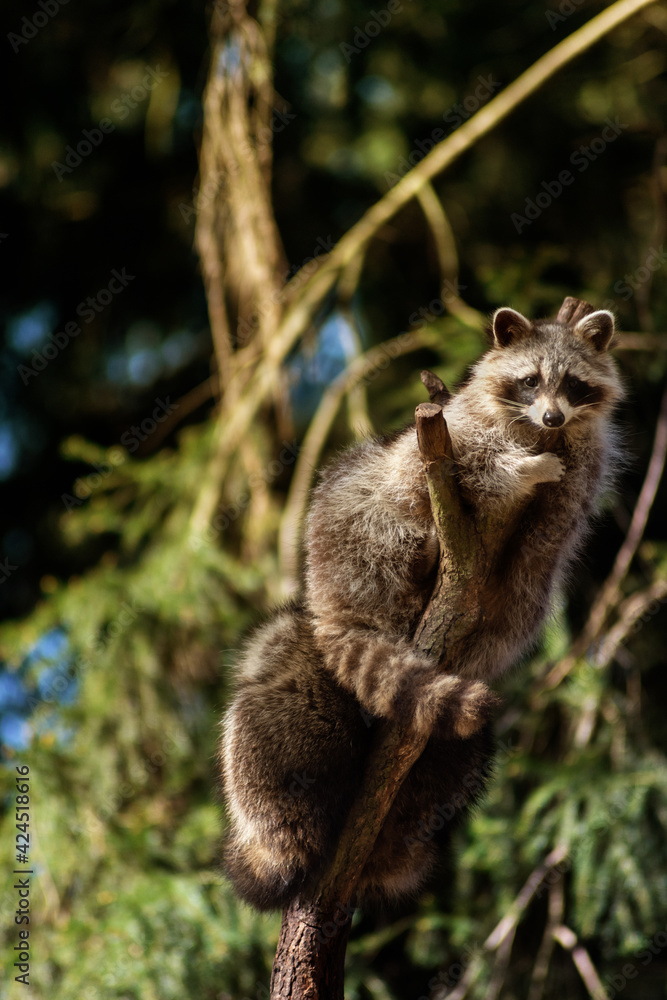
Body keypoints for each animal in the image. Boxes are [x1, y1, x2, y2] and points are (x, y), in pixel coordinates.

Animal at [220, 306, 624, 910]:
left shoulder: (580, 475)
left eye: (574, 383)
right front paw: (517, 470)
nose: (553, 416)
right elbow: (466, 468)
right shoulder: (451, 436)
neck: (537, 430)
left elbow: (545, 541)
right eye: (530, 380)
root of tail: (333, 599)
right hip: (360, 530)